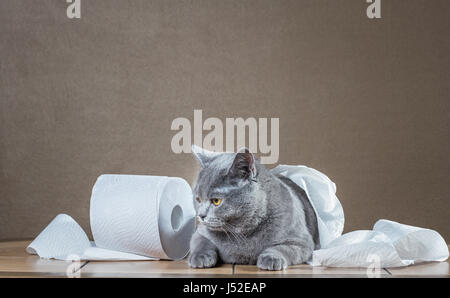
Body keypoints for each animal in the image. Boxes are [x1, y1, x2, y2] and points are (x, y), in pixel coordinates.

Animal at [187, 146, 320, 272]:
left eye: (216, 201)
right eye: (198, 199)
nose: (201, 215)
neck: (241, 233)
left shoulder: (301, 241)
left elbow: (281, 248)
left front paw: (271, 258)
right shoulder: (200, 232)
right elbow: (200, 242)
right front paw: (200, 257)